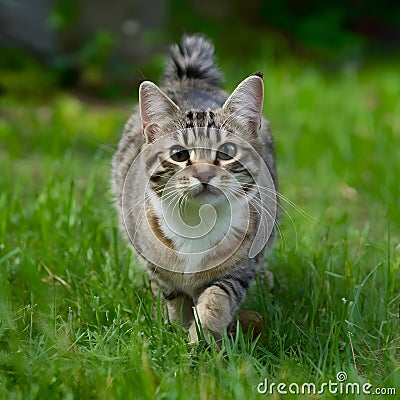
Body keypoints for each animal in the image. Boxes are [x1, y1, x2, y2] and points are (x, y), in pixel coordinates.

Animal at [111, 34, 276, 342]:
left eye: (226, 152)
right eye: (178, 154)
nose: (204, 174)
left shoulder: (238, 269)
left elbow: (217, 297)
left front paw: (202, 337)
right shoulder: (157, 264)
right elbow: (174, 296)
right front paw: (175, 329)